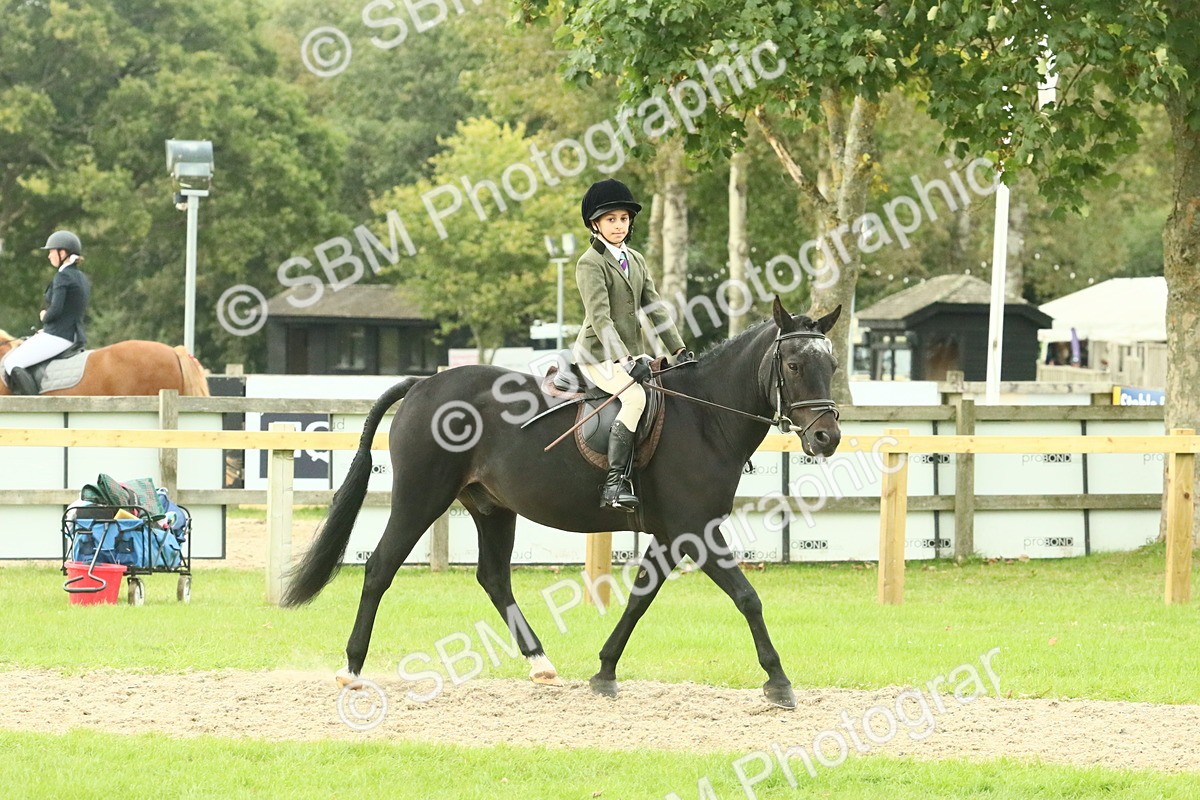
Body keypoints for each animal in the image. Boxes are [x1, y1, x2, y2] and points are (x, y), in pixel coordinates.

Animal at [283, 296, 842, 708]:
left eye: (832, 364)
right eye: (794, 363)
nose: (828, 437)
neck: (705, 416)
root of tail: (424, 384)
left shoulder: (670, 534)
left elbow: (639, 598)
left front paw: (605, 670)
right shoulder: (695, 530)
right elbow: (747, 597)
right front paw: (779, 681)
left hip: (492, 508)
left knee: (493, 578)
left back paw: (541, 664)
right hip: (420, 498)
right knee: (379, 568)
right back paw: (351, 668)